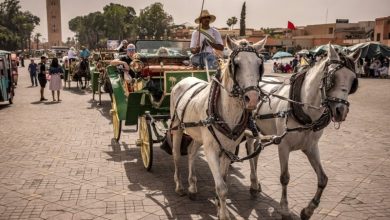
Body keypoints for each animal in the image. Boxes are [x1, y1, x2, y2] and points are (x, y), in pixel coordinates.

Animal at [171, 35, 268, 219]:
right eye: (235, 64)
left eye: (260, 64)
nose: (252, 98)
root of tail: (185, 79)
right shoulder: (211, 150)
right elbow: (222, 187)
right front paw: (223, 214)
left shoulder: (228, 150)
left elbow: (224, 181)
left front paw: (219, 206)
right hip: (177, 128)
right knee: (177, 156)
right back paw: (179, 186)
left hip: (198, 134)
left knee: (192, 152)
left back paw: (192, 187)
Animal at [248, 43, 362, 219]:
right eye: (332, 78)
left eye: (353, 82)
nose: (341, 111)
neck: (304, 111)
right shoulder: (283, 146)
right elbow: (285, 178)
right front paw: (285, 209)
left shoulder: (311, 147)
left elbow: (323, 179)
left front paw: (308, 210)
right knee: (249, 149)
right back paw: (253, 183)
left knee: (255, 150)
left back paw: (255, 184)